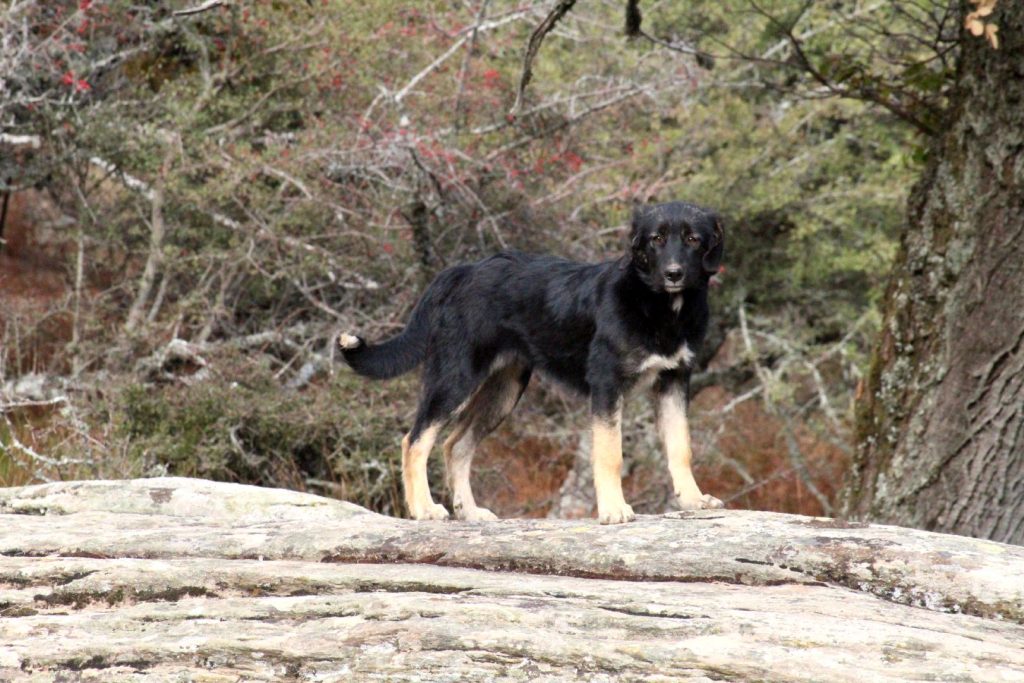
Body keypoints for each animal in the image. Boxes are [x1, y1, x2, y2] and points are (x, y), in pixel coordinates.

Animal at [339, 200, 724, 528]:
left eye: (692, 239)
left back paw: (470, 512)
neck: (661, 309)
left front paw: (693, 500)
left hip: (503, 391)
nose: (674, 274)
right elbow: (610, 454)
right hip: (455, 378)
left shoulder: (674, 381)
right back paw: (423, 509)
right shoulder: (606, 385)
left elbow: (681, 447)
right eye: (656, 239)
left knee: (455, 445)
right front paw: (614, 509)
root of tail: (463, 270)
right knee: (415, 440)